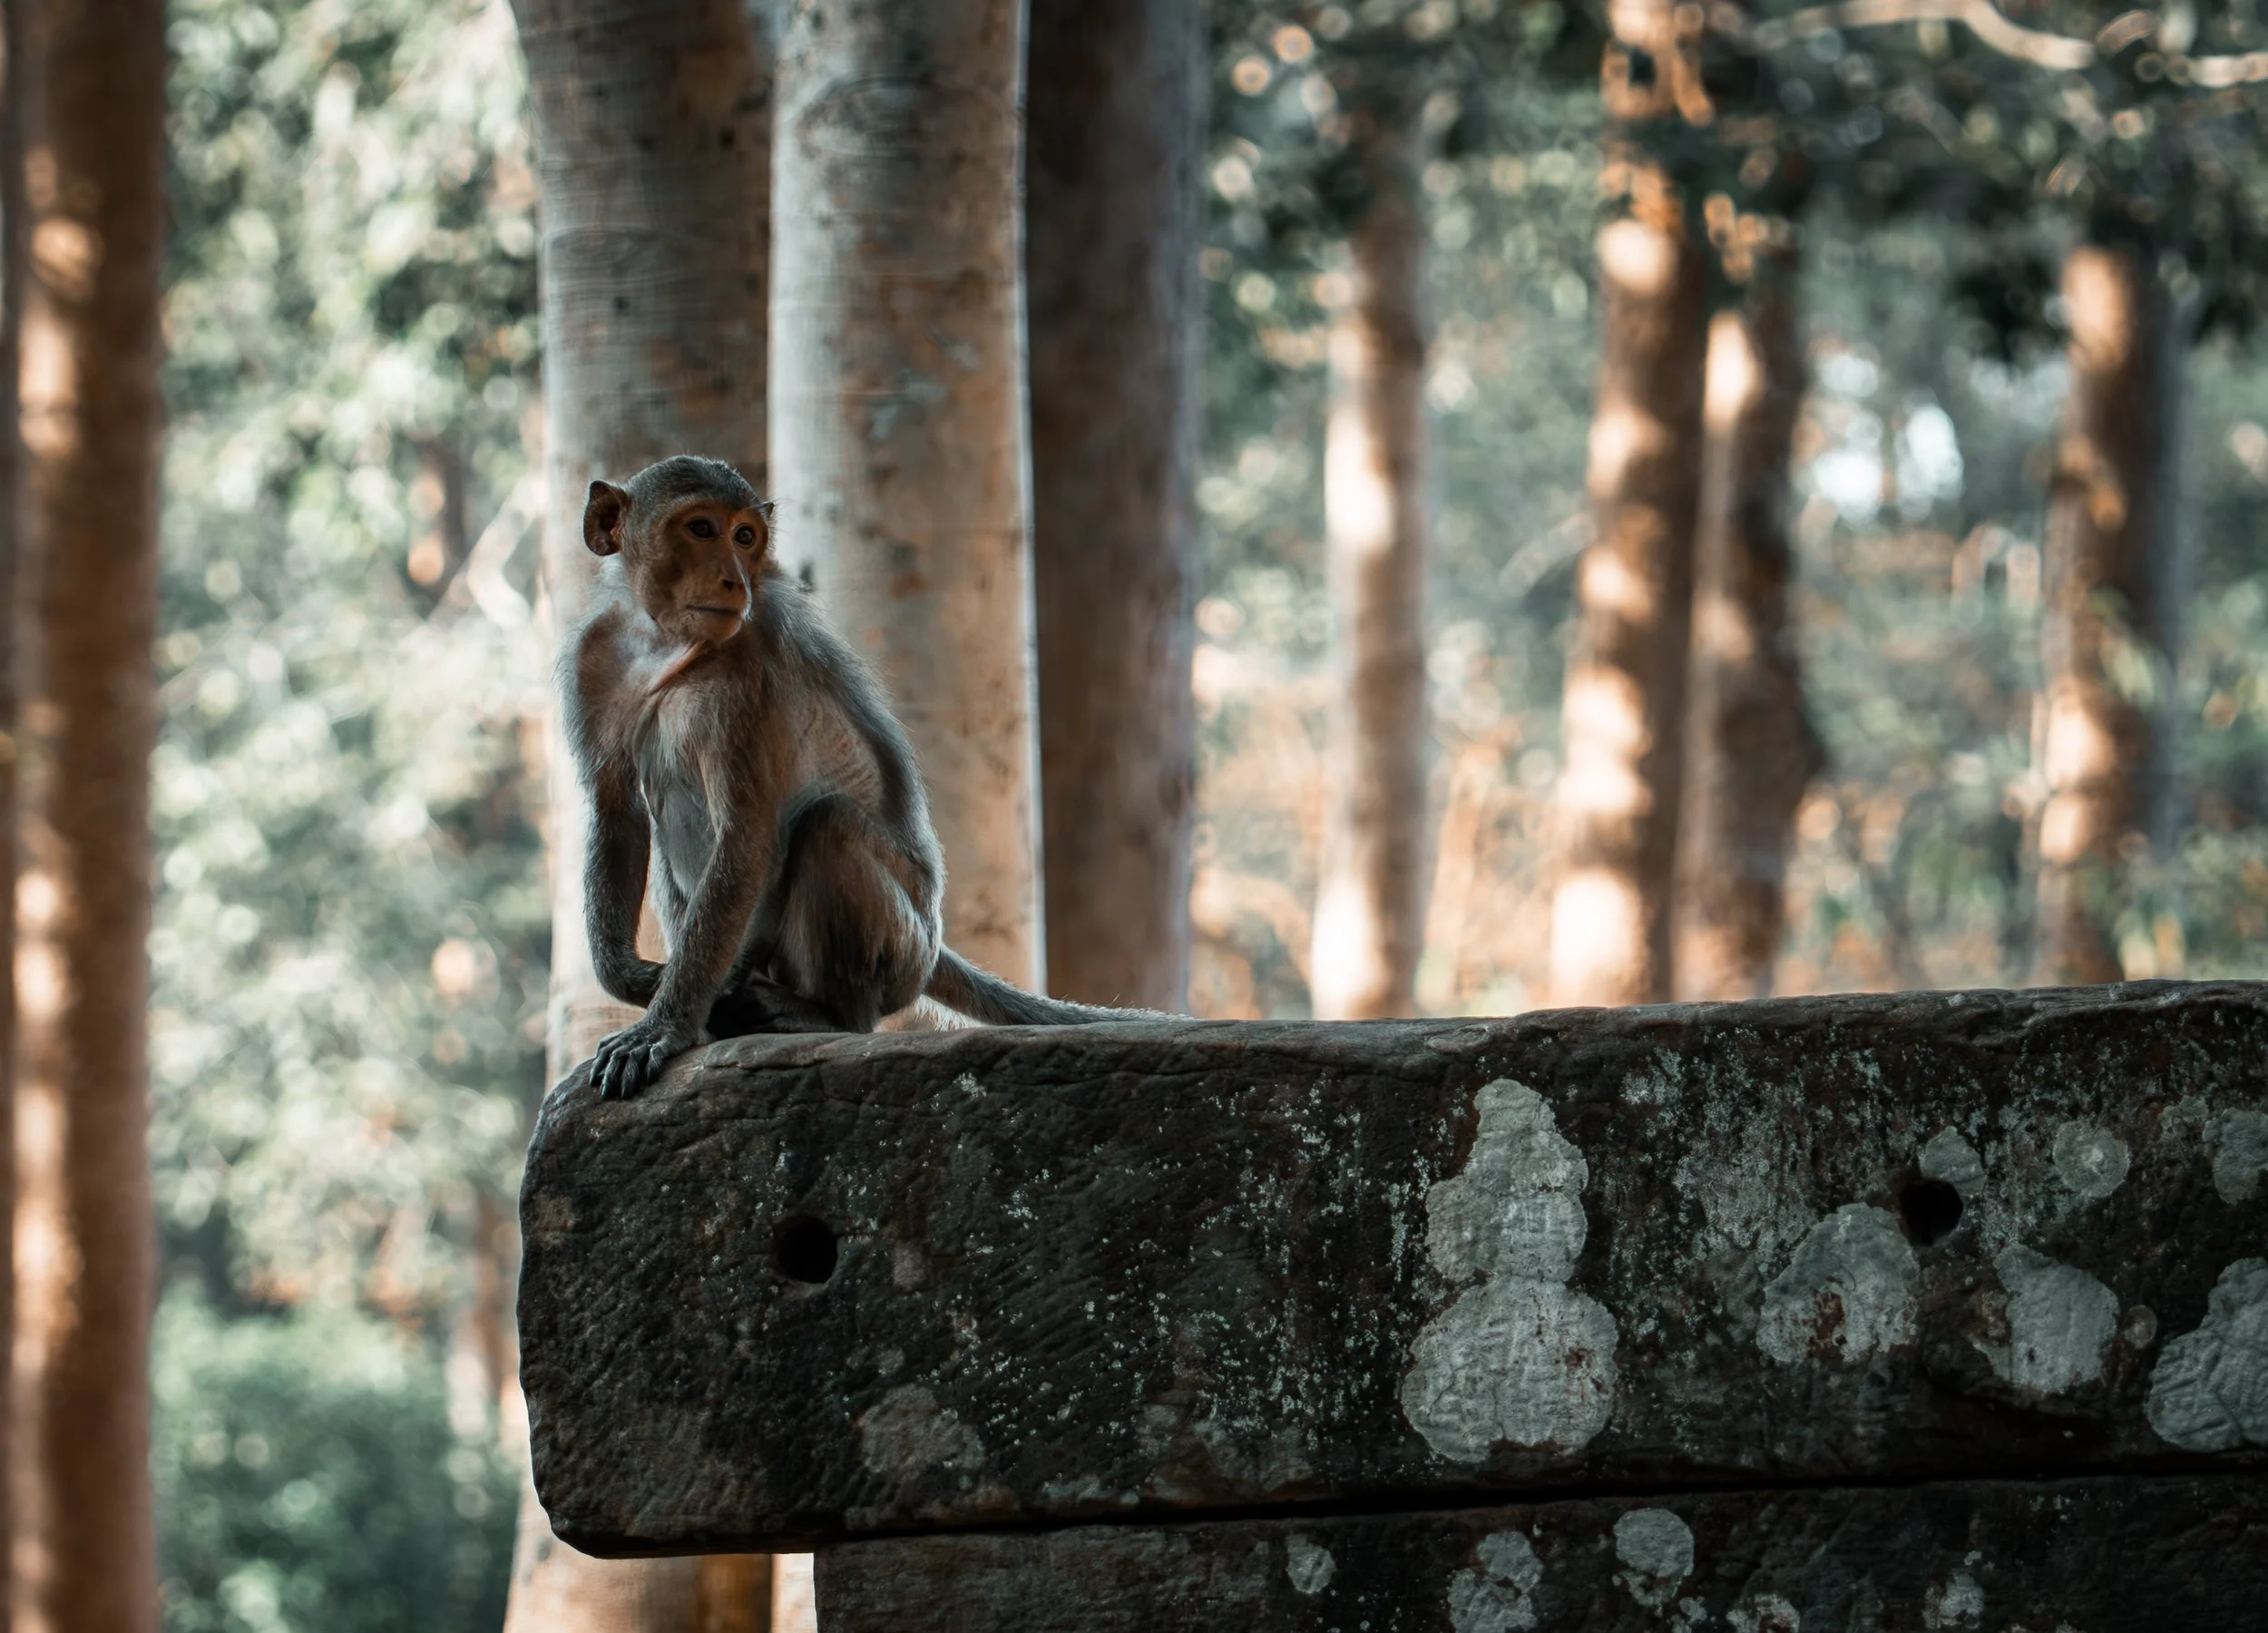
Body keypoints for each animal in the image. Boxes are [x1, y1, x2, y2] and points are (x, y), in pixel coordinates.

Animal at [563, 454, 1162, 1098]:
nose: (735, 582)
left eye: (745, 537)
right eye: (702, 528)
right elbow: (617, 811)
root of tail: (932, 942)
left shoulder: (744, 681)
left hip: (901, 953)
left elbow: (746, 842)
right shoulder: (593, 656)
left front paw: (665, 1024)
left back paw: (824, 1014)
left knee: (829, 826)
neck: (667, 644)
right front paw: (637, 981)